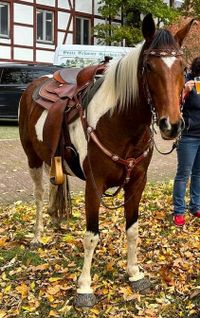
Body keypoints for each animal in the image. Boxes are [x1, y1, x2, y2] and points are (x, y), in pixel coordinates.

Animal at [18, 13, 194, 306]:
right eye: (148, 67)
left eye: (183, 67)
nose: (171, 125)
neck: (118, 123)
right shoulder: (94, 184)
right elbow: (91, 236)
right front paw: (84, 287)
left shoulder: (137, 183)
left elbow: (133, 229)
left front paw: (134, 273)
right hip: (32, 158)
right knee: (40, 195)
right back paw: (37, 236)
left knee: (55, 187)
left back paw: (57, 222)